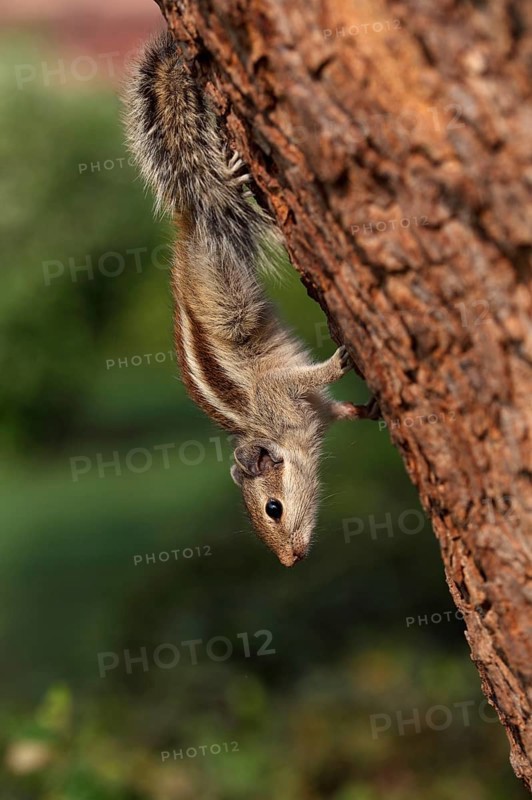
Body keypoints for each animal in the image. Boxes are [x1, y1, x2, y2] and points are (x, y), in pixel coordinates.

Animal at [124, 32, 379, 567]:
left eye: (273, 508)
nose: (290, 561)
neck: (276, 432)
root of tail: (187, 226)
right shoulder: (312, 410)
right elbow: (339, 408)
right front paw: (366, 407)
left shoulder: (279, 392)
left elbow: (309, 380)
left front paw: (341, 362)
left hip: (229, 295)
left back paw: (232, 175)